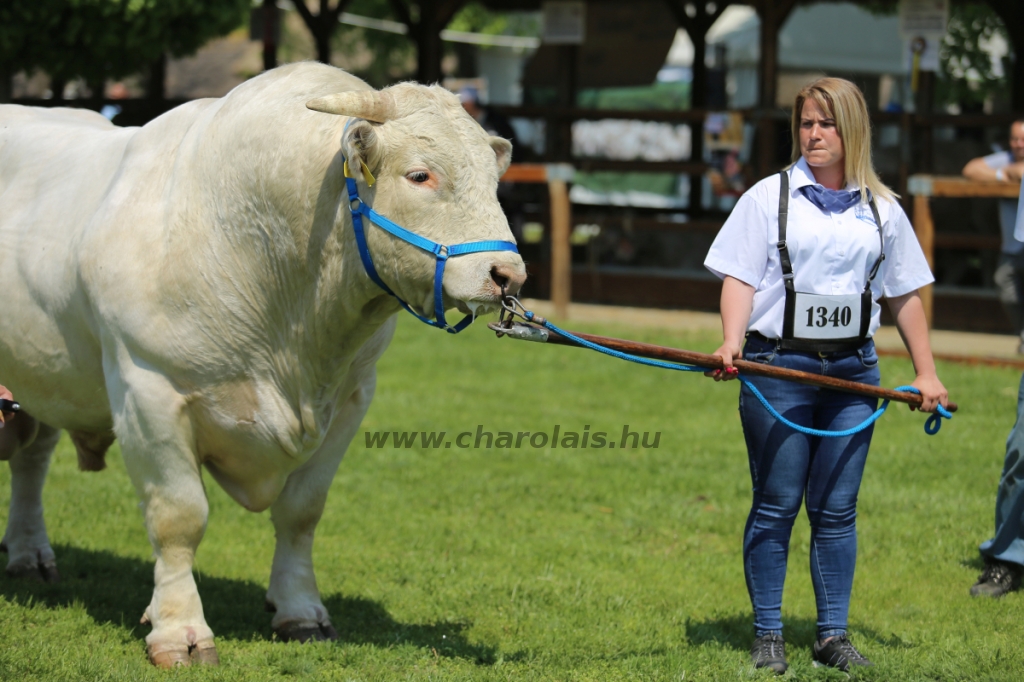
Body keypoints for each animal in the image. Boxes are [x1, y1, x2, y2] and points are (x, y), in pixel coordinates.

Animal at [0, 63, 528, 663]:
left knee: (33, 458)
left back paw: (29, 554)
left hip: (43, 370)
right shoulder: (148, 390)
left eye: (493, 179)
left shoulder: (352, 396)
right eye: (420, 175)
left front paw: (300, 610)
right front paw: (179, 630)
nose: (508, 275)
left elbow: (302, 510)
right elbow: (179, 517)